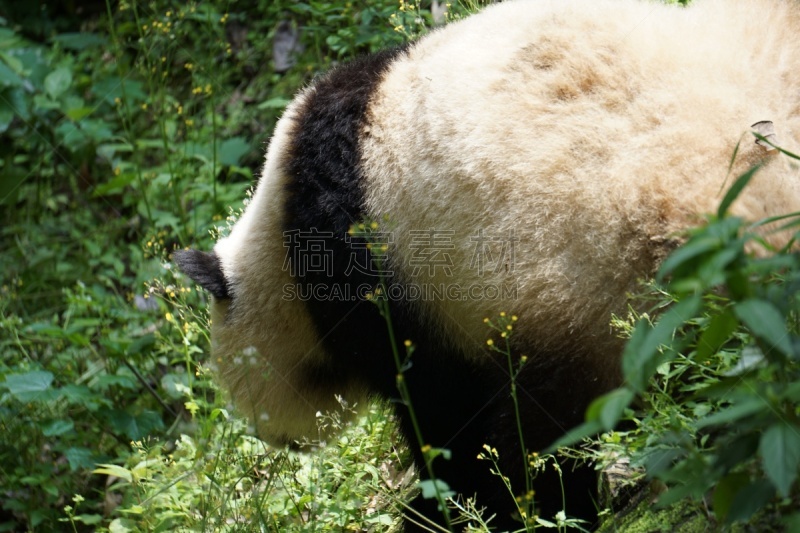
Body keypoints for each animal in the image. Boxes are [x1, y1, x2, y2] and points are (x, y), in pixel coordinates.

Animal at [173, 0, 800, 528]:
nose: (278, 438)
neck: (280, 237)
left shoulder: (380, 281)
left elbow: (447, 417)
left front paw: (442, 509)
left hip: (598, 277)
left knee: (552, 431)